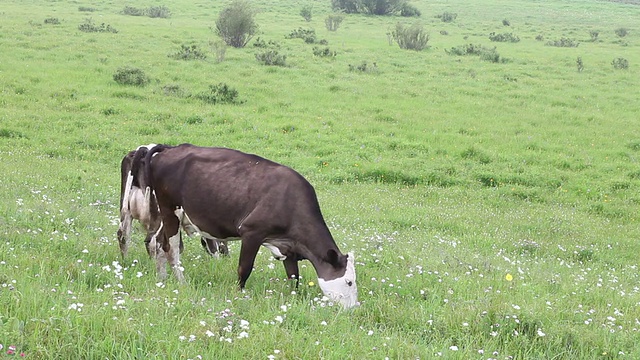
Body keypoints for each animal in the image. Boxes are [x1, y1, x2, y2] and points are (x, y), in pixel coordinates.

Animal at [130, 145, 360, 308]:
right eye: (349, 282)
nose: (353, 308)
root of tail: (170, 148)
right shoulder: (252, 232)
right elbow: (244, 268)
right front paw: (239, 294)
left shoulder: (288, 246)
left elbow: (294, 276)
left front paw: (294, 297)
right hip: (170, 210)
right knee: (171, 248)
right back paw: (181, 281)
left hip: (168, 216)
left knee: (158, 242)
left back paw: (161, 278)